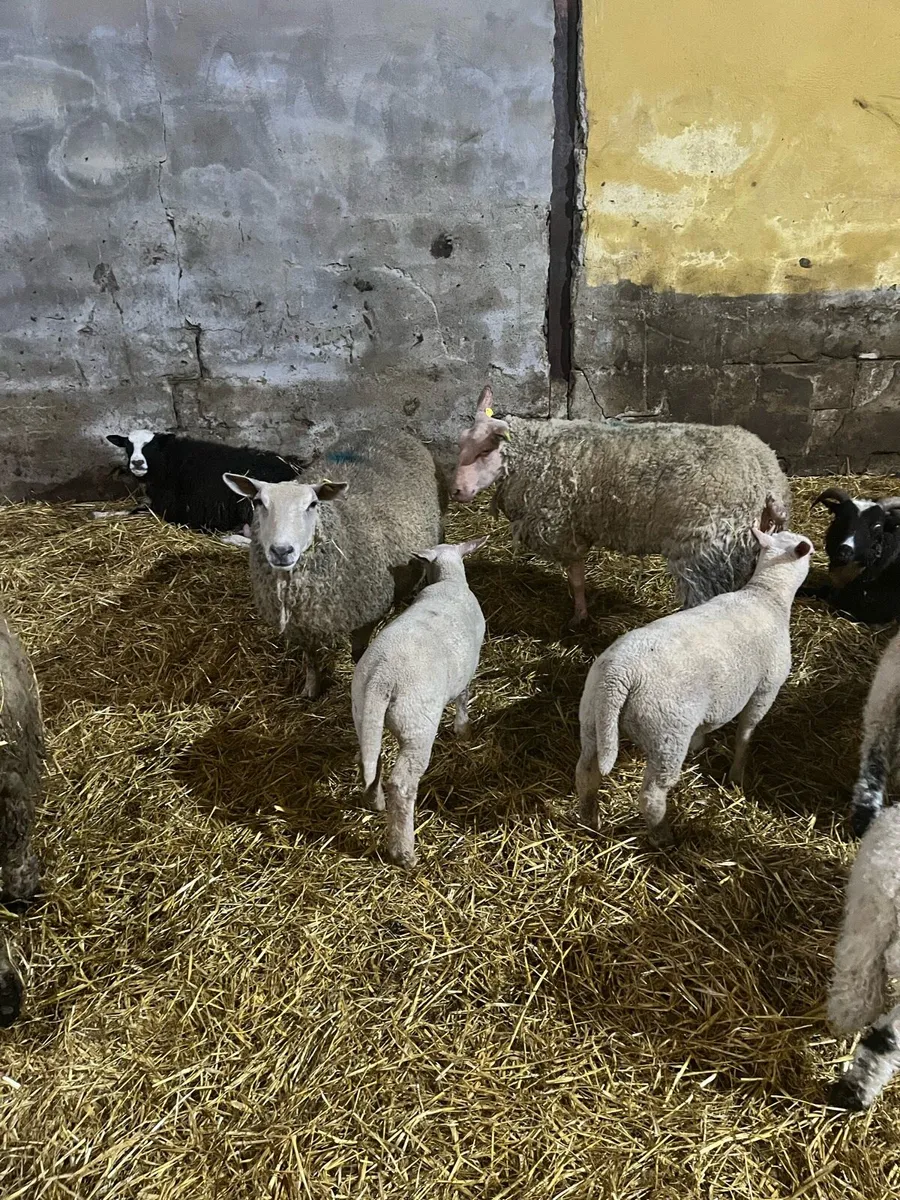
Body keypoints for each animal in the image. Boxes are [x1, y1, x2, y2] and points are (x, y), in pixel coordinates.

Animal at [101, 431, 311, 535]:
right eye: (127, 446)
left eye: (151, 446)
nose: (137, 463)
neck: (168, 462)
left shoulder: (173, 509)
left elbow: (137, 510)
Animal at [224, 429, 446, 700]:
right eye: (258, 503)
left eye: (312, 504)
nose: (281, 550)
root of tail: (387, 429)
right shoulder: (301, 625)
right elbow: (310, 658)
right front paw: (311, 689)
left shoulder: (366, 614)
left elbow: (359, 655)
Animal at [351, 537, 487, 868]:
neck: (449, 580)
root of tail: (383, 678)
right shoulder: (468, 669)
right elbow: (463, 698)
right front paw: (464, 730)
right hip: (417, 727)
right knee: (401, 784)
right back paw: (404, 852)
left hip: (363, 713)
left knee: (368, 760)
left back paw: (375, 803)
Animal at [452, 385, 790, 627]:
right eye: (460, 445)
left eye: (485, 450)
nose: (456, 491)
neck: (532, 453)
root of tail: (767, 478)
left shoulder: (563, 529)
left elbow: (576, 579)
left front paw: (579, 616)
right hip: (749, 542)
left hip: (705, 549)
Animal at [575, 526, 813, 845]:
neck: (767, 595)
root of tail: (619, 676)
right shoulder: (766, 688)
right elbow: (746, 733)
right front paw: (737, 775)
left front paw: (700, 746)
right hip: (667, 734)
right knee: (651, 795)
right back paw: (664, 837)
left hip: (591, 717)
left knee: (586, 772)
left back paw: (590, 820)